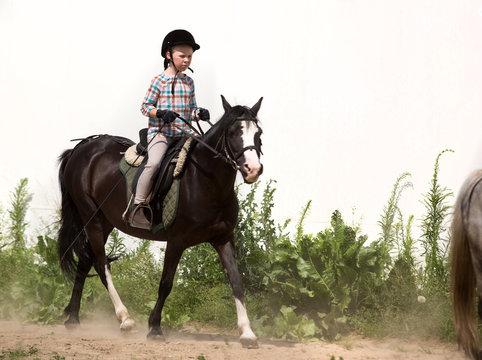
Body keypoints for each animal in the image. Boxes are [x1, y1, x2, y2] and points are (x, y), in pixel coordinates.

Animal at [58, 96, 266, 348]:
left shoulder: (224, 239)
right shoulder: (176, 240)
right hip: (92, 218)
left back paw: (73, 318)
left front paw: (247, 332)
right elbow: (166, 283)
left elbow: (236, 281)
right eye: (234, 132)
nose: (252, 169)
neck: (205, 180)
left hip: (105, 221)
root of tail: (83, 146)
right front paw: (155, 327)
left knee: (85, 261)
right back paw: (125, 319)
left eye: (258, 133)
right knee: (100, 264)